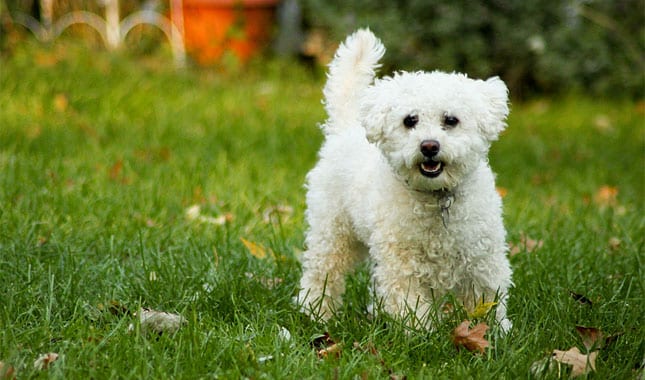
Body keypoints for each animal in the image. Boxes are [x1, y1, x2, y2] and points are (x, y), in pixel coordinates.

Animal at [296, 29, 512, 332]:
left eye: (451, 120)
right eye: (410, 120)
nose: (429, 146)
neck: (436, 198)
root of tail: (344, 129)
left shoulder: (483, 256)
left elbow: (486, 297)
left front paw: (493, 331)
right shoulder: (401, 261)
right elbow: (408, 299)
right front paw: (420, 331)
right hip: (332, 230)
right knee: (323, 271)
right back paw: (315, 312)